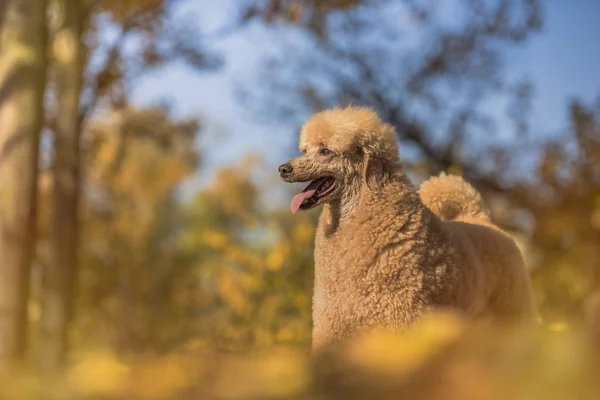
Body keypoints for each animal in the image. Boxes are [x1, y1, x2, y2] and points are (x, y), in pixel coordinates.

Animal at [278, 105, 536, 350]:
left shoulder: (399, 315)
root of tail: (479, 217)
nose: (283, 169)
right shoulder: (333, 320)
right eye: (305, 150)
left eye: (325, 150)